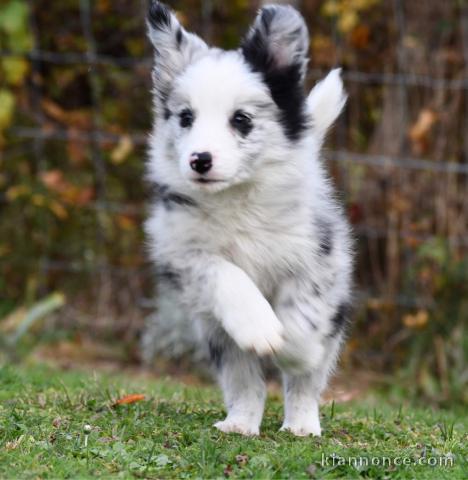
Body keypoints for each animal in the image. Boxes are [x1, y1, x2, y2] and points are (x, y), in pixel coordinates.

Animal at [144, 0, 352, 436]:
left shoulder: (316, 261)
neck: (236, 198)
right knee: (243, 380)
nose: (199, 160)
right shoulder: (181, 251)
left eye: (241, 120)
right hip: (217, 334)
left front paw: (292, 346)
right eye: (185, 118)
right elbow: (225, 273)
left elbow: (302, 319)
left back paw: (302, 425)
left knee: (306, 383)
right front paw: (261, 328)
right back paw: (239, 423)